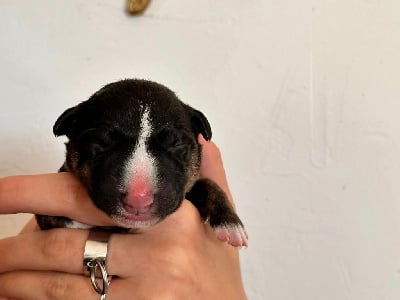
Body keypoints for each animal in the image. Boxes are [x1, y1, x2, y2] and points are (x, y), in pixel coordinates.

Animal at [35, 78, 247, 247]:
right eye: (97, 145)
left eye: (177, 146)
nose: (139, 199)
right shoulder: (47, 215)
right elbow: (63, 220)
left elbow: (208, 183)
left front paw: (230, 224)